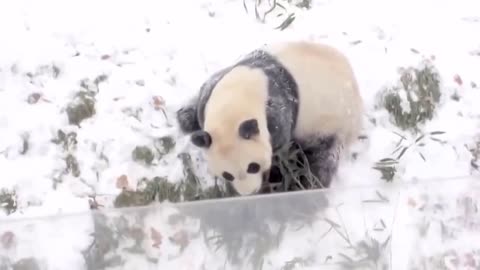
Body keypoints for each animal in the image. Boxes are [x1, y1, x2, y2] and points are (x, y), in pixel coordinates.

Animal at [176, 40, 364, 196]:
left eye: (253, 166)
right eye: (227, 175)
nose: (249, 192)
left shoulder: (279, 113)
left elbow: (278, 151)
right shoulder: (213, 89)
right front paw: (187, 118)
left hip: (331, 123)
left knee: (322, 159)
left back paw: (307, 186)